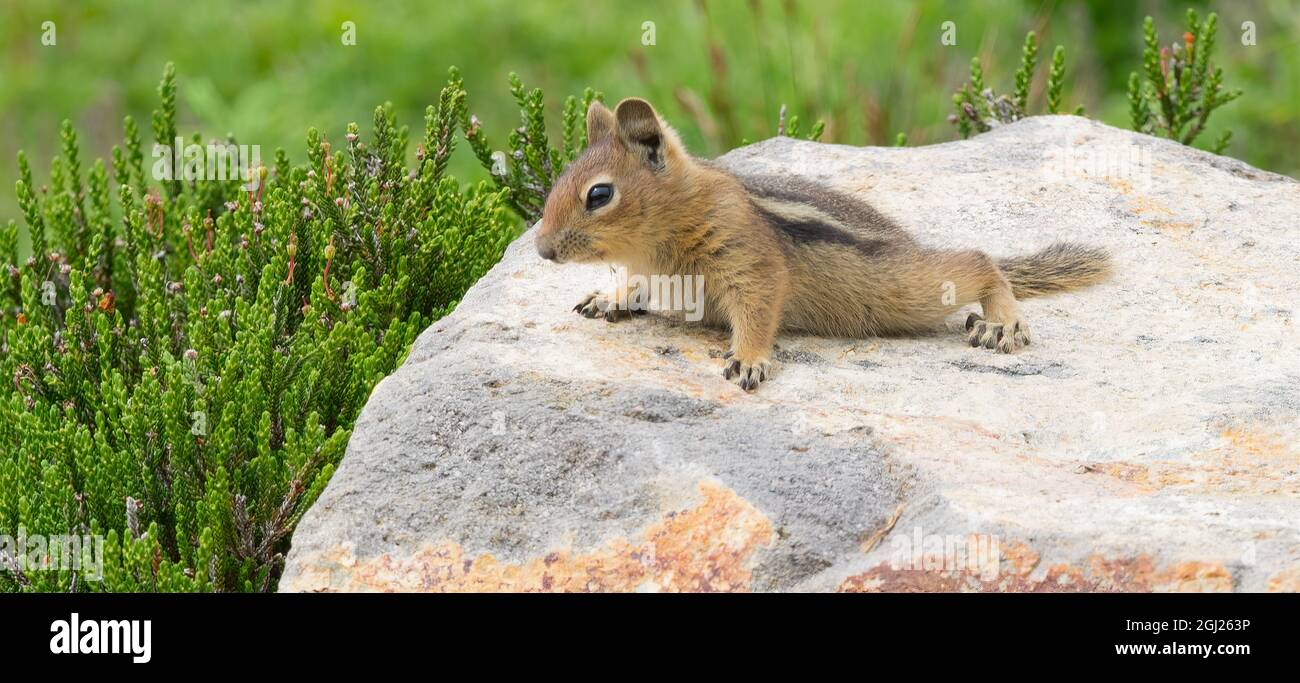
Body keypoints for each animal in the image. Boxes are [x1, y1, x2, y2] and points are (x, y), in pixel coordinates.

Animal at [533, 98, 1112, 390]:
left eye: (599, 194)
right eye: (557, 179)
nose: (540, 250)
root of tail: (907, 243)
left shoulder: (748, 258)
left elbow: (759, 306)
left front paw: (749, 359)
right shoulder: (651, 272)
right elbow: (633, 284)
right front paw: (607, 296)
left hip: (908, 291)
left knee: (978, 260)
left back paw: (1002, 321)